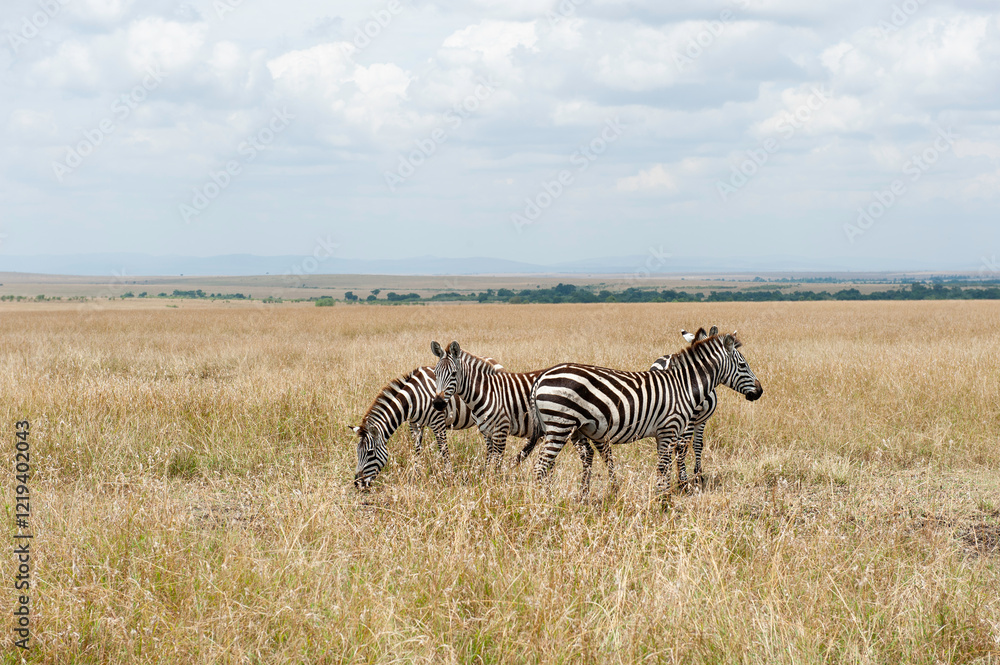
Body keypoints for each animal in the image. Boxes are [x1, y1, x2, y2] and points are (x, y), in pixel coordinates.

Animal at [352, 364, 486, 490]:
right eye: (357, 452)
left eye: (370, 453)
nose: (357, 484)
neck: (413, 399)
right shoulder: (414, 424)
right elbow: (417, 450)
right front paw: (416, 477)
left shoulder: (438, 423)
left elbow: (444, 452)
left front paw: (449, 479)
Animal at [431, 340, 547, 469]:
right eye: (435, 373)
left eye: (454, 373)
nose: (438, 403)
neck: (489, 392)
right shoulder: (487, 433)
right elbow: (489, 459)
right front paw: (485, 473)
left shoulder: (501, 430)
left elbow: (497, 464)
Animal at [531, 329, 762, 497]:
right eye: (743, 365)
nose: (760, 391)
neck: (683, 385)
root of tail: (541, 377)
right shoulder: (670, 428)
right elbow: (664, 466)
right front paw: (664, 501)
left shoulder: (664, 433)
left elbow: (665, 466)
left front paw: (665, 495)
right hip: (560, 426)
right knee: (540, 467)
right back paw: (543, 504)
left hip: (573, 429)